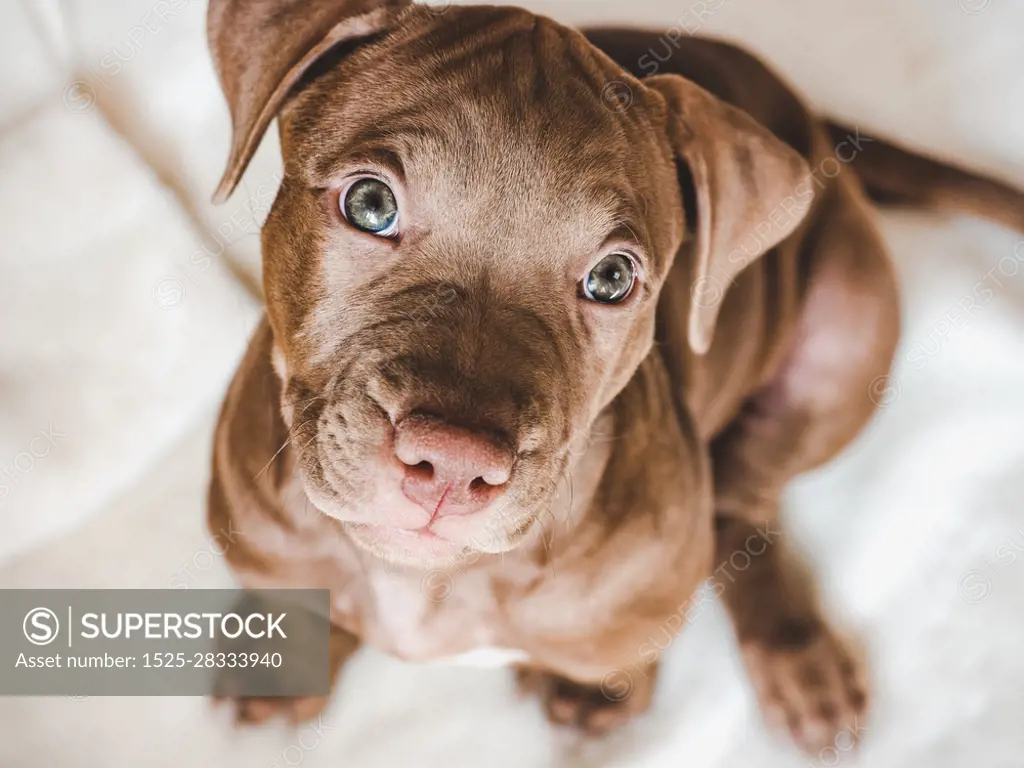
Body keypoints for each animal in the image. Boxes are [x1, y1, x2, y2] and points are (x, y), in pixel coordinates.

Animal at [205, 0, 1024, 753]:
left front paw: (602, 687)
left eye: (612, 278)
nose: (454, 463)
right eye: (371, 203)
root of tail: (815, 132)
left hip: (847, 333)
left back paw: (794, 653)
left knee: (743, 500)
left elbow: (633, 637)